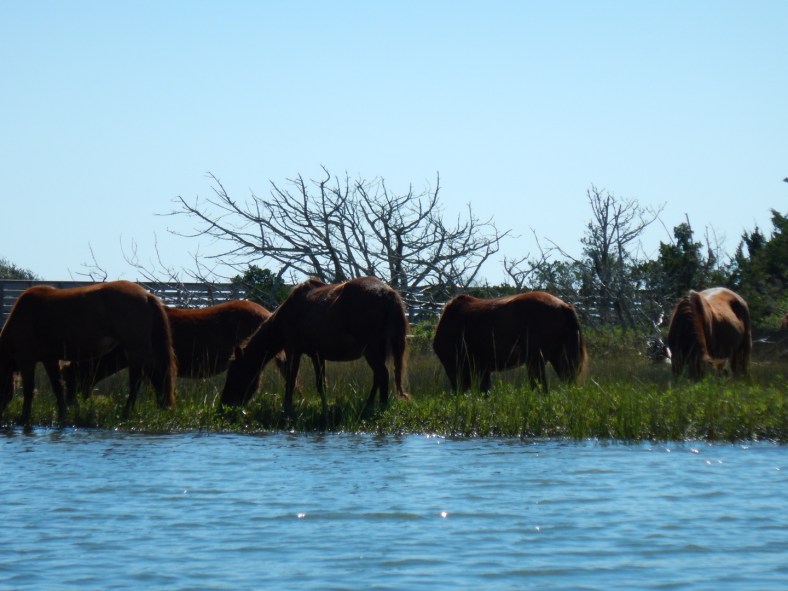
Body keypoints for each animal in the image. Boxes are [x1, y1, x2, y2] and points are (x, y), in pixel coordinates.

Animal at [0, 280, 176, 425]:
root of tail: (146, 295)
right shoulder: (49, 359)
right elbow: (57, 387)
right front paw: (62, 417)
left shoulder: (26, 359)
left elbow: (29, 390)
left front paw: (24, 419)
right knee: (153, 374)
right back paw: (161, 406)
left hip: (135, 348)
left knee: (139, 379)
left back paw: (128, 412)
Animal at [221, 276, 410, 419]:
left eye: (235, 372)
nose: (224, 403)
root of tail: (389, 293)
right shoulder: (317, 354)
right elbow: (321, 384)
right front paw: (325, 408)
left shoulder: (293, 349)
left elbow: (291, 379)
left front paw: (287, 408)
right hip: (380, 347)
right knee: (379, 376)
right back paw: (370, 405)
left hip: (370, 348)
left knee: (382, 374)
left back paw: (381, 407)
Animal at [432, 291, 587, 392]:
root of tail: (563, 306)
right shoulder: (482, 369)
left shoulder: (457, 367)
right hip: (562, 358)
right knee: (567, 382)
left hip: (536, 360)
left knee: (541, 388)